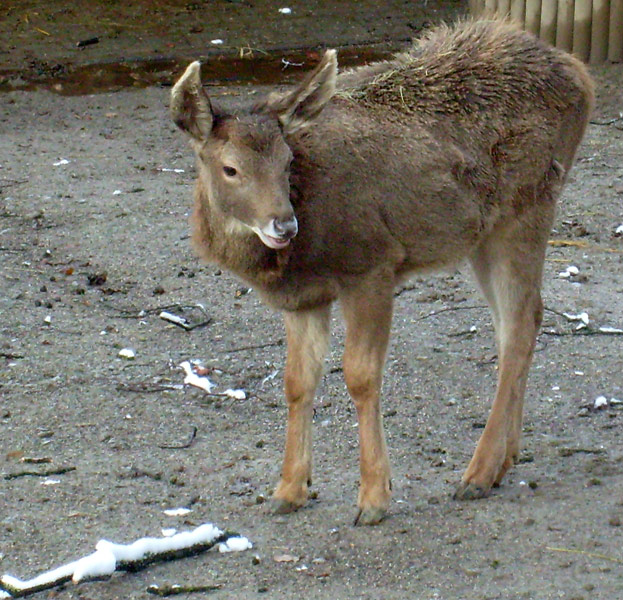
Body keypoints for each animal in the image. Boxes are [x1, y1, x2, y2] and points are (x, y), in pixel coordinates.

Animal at [171, 18, 596, 524]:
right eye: (230, 168)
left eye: (286, 161)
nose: (283, 224)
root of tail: (581, 77)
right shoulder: (304, 297)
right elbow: (297, 381)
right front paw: (289, 489)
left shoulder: (372, 264)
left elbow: (360, 375)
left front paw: (374, 497)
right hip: (484, 234)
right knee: (523, 319)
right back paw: (505, 459)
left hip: (528, 207)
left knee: (518, 327)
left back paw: (477, 473)